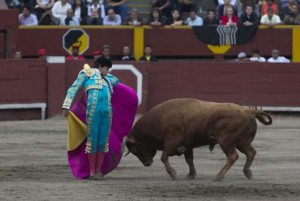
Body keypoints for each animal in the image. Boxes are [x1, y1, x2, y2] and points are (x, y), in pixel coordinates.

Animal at [125, 98, 272, 181]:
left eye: (135, 149)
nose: (147, 163)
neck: (159, 120)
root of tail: (249, 111)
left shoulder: (171, 141)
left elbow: (164, 157)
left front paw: (173, 173)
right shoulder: (187, 145)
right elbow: (189, 159)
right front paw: (191, 175)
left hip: (226, 141)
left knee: (233, 156)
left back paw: (219, 176)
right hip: (242, 142)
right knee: (251, 153)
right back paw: (247, 173)